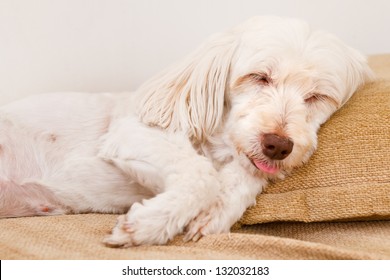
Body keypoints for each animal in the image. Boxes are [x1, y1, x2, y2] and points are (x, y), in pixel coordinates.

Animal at [0, 16, 372, 246]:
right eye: (259, 77)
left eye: (317, 97)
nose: (278, 145)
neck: (218, 144)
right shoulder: (133, 132)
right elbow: (201, 174)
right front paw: (149, 224)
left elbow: (244, 175)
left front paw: (215, 212)